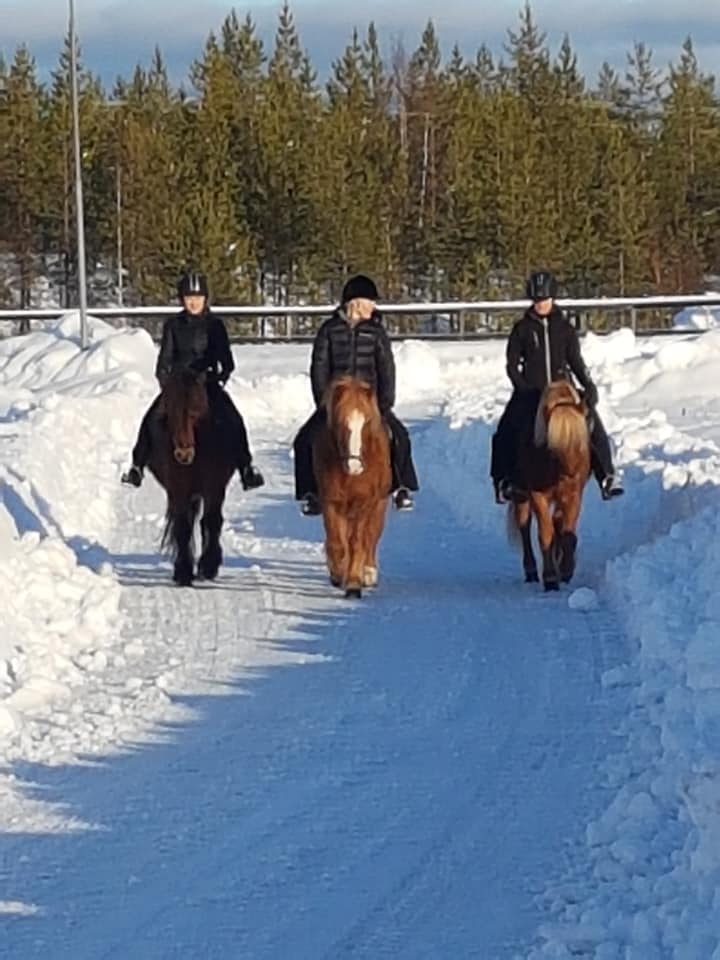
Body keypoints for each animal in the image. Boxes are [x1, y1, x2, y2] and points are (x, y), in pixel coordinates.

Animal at [147, 372, 236, 584]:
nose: (183, 454)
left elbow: (212, 521)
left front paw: (209, 566)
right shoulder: (178, 489)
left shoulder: (215, 487)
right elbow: (183, 526)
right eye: (169, 410)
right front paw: (183, 571)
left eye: (196, 410)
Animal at [314, 376, 394, 596]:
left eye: (366, 422)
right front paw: (338, 574)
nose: (354, 465)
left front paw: (353, 583)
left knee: (371, 536)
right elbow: (337, 544)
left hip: (379, 504)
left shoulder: (364, 502)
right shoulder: (331, 501)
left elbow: (358, 542)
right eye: (341, 422)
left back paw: (368, 572)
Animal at [506, 378, 592, 588]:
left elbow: (567, 532)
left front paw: (566, 570)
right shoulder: (538, 495)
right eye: (554, 448)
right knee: (524, 526)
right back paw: (531, 571)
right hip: (521, 495)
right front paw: (551, 578)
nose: (571, 476)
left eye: (580, 442)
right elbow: (546, 534)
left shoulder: (574, 495)